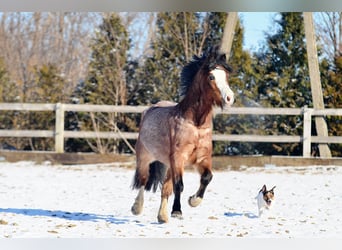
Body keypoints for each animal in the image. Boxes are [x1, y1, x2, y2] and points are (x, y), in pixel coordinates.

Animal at [130, 46, 234, 223]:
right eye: (212, 76)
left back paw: (162, 216)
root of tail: (149, 110)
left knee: (165, 188)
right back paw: (137, 208)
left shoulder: (202, 158)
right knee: (143, 181)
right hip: (145, 158)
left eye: (226, 76)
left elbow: (207, 177)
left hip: (168, 165)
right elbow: (179, 185)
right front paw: (177, 211)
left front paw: (193, 200)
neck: (196, 124)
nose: (229, 98)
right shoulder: (178, 158)